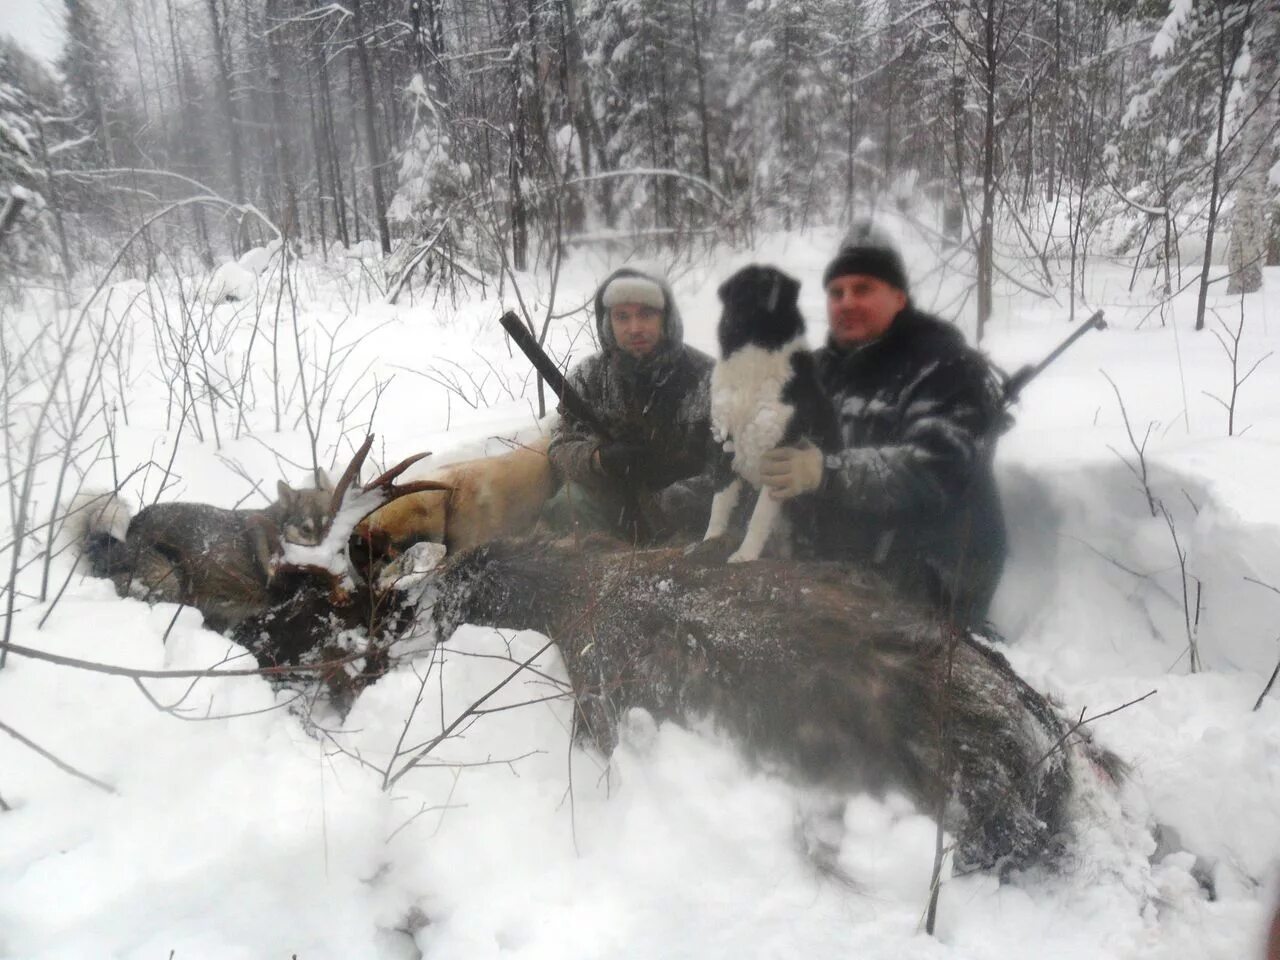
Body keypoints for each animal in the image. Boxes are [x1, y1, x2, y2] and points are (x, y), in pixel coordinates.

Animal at [701, 264, 839, 563]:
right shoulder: (725, 445)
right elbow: (718, 505)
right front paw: (709, 542)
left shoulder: (779, 457)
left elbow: (759, 518)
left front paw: (744, 556)